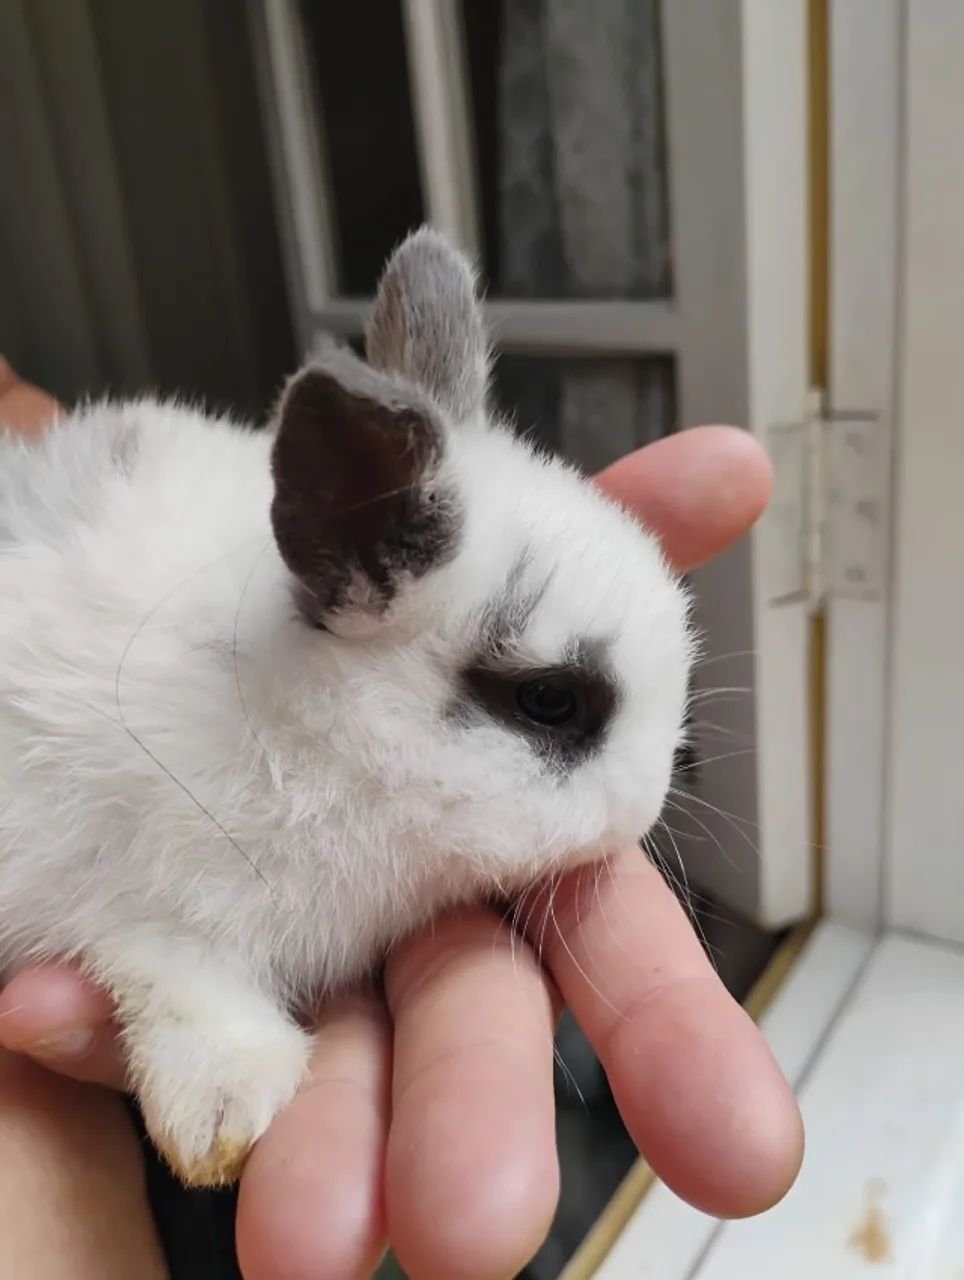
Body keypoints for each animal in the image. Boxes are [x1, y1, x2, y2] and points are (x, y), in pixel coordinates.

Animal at [0, 228, 693, 1186]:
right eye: (549, 700)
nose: (649, 802)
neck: (310, 734)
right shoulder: (148, 906)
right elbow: (179, 985)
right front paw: (223, 1120)